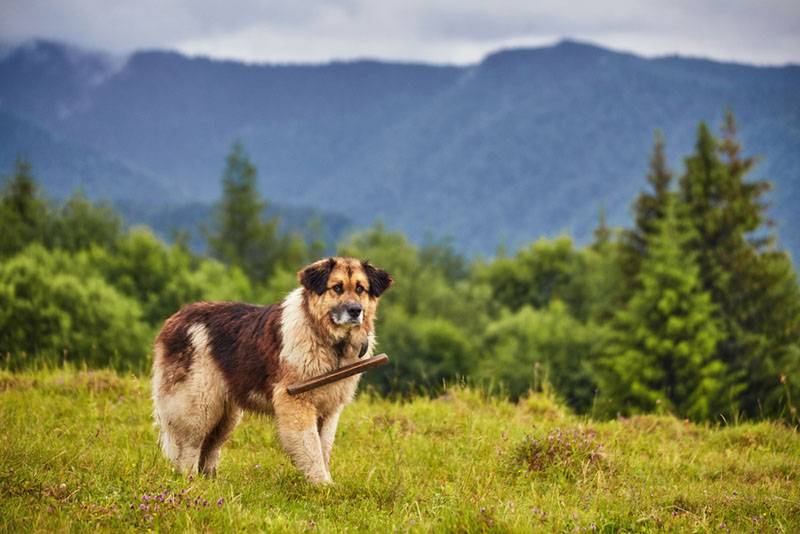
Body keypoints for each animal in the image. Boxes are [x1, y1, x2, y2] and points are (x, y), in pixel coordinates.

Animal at [152, 258, 392, 486]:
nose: (355, 311)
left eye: (360, 289)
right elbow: (311, 447)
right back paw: (190, 481)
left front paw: (324, 482)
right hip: (199, 404)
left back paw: (211, 481)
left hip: (227, 413)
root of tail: (174, 320)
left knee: (210, 446)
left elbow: (324, 447)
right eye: (337, 288)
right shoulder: (296, 402)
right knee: (190, 446)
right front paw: (322, 485)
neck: (327, 339)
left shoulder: (330, 409)